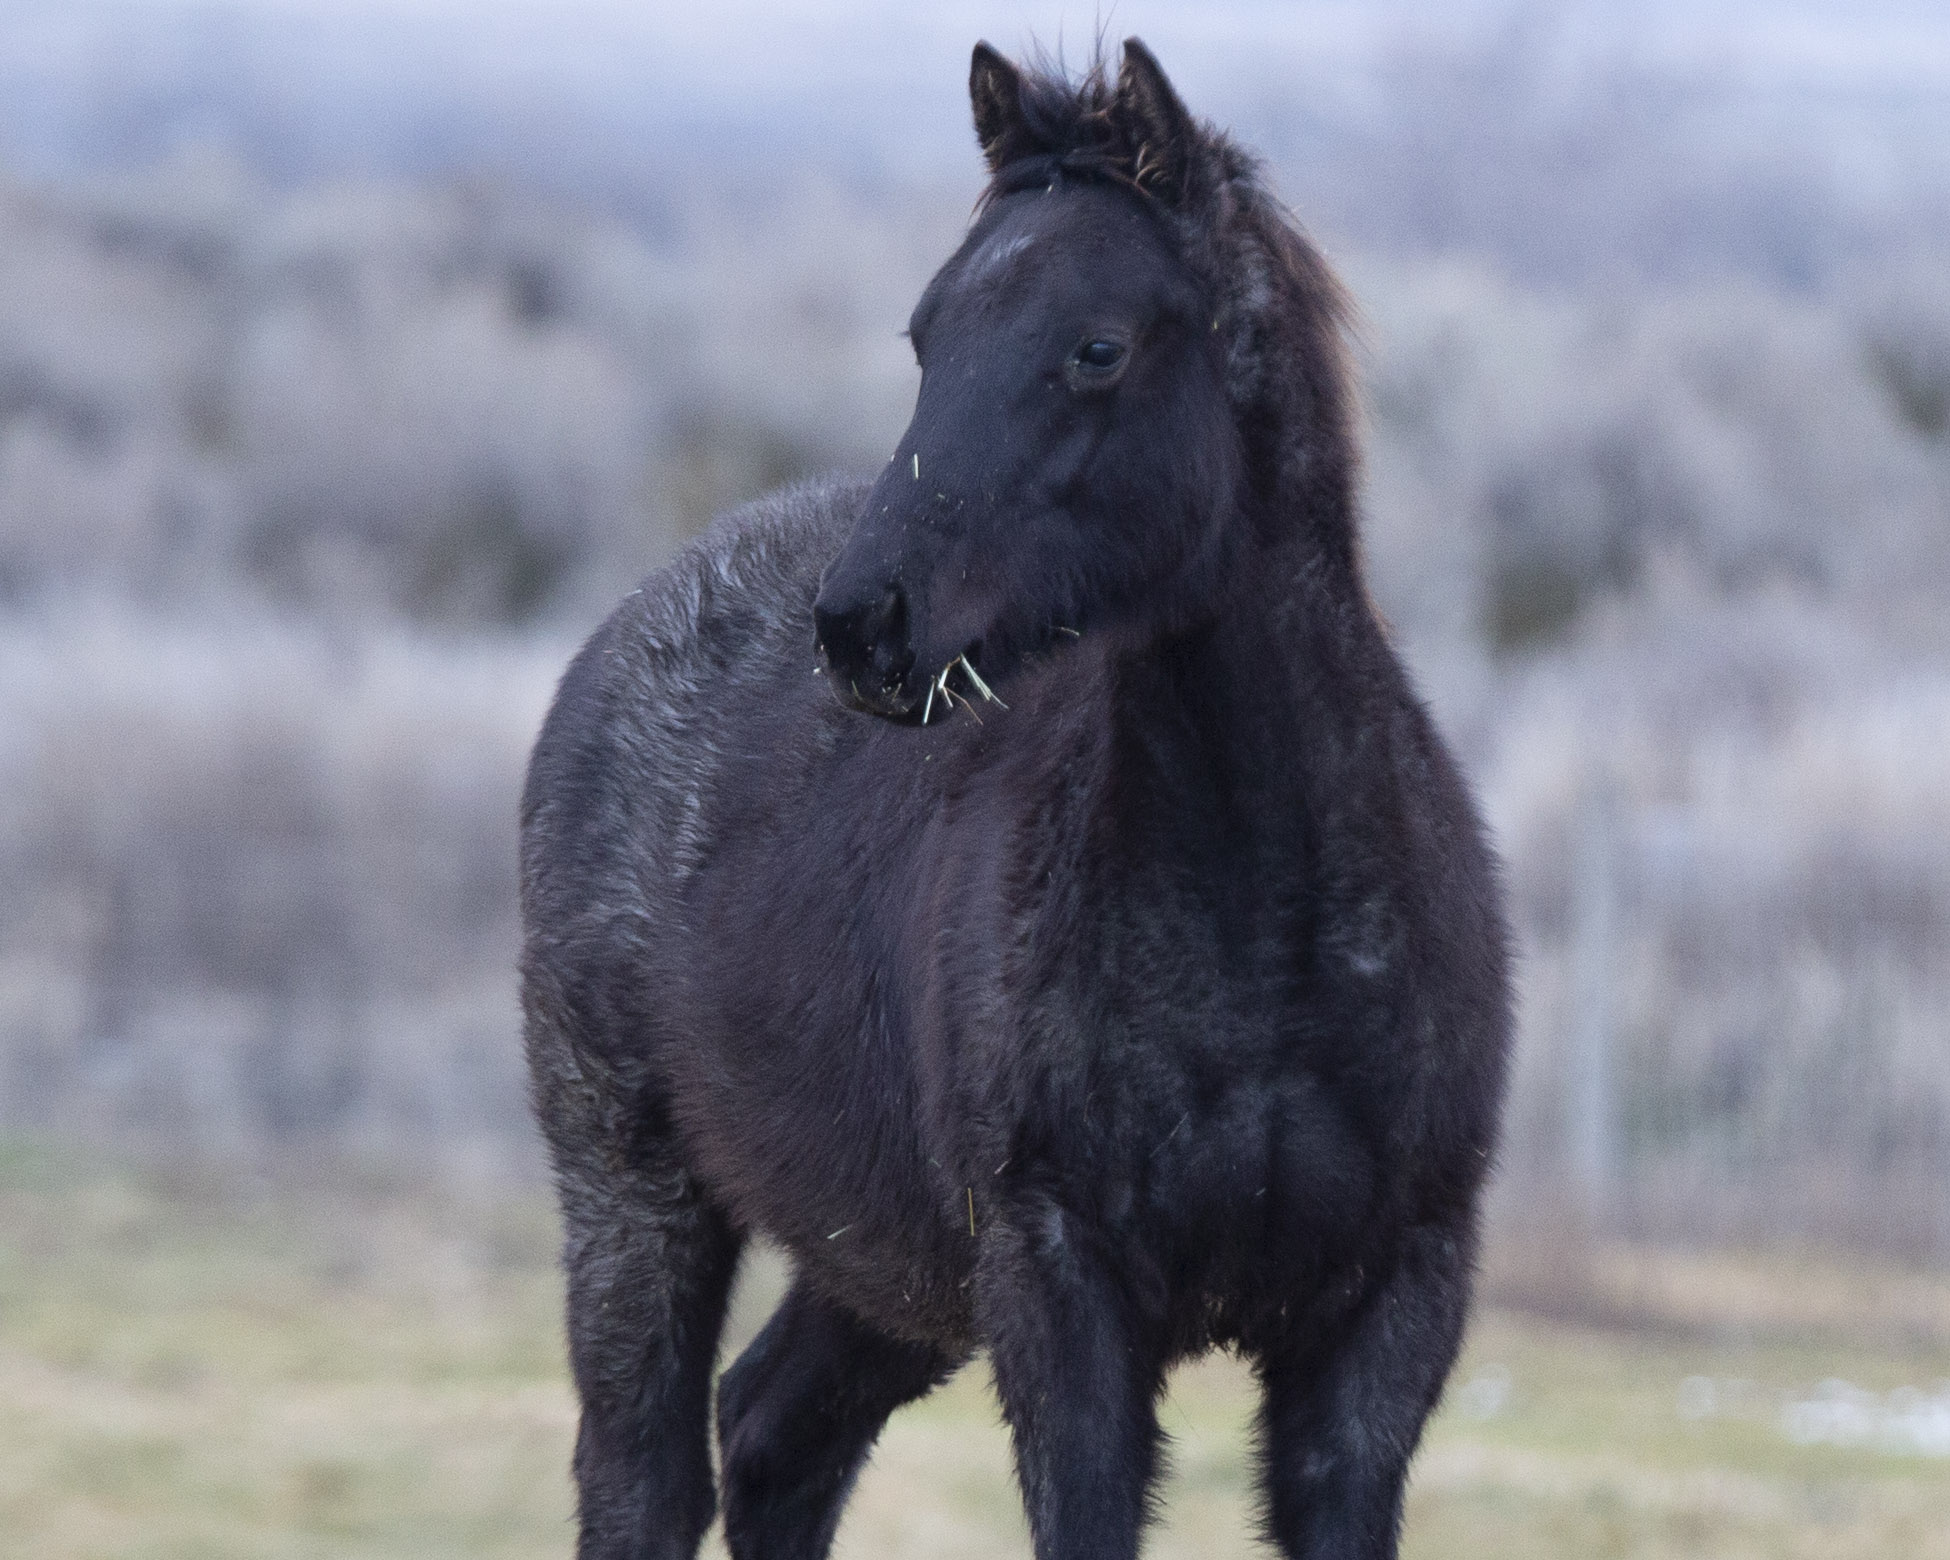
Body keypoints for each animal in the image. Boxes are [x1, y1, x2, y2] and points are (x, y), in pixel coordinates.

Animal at [519, 38, 1510, 1560]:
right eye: (927, 338)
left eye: (1096, 346)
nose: (865, 626)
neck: (1266, 923)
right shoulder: (1060, 1290)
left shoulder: (1386, 1315)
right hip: (634, 1193)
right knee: (647, 1479)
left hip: (885, 1267)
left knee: (774, 1432)